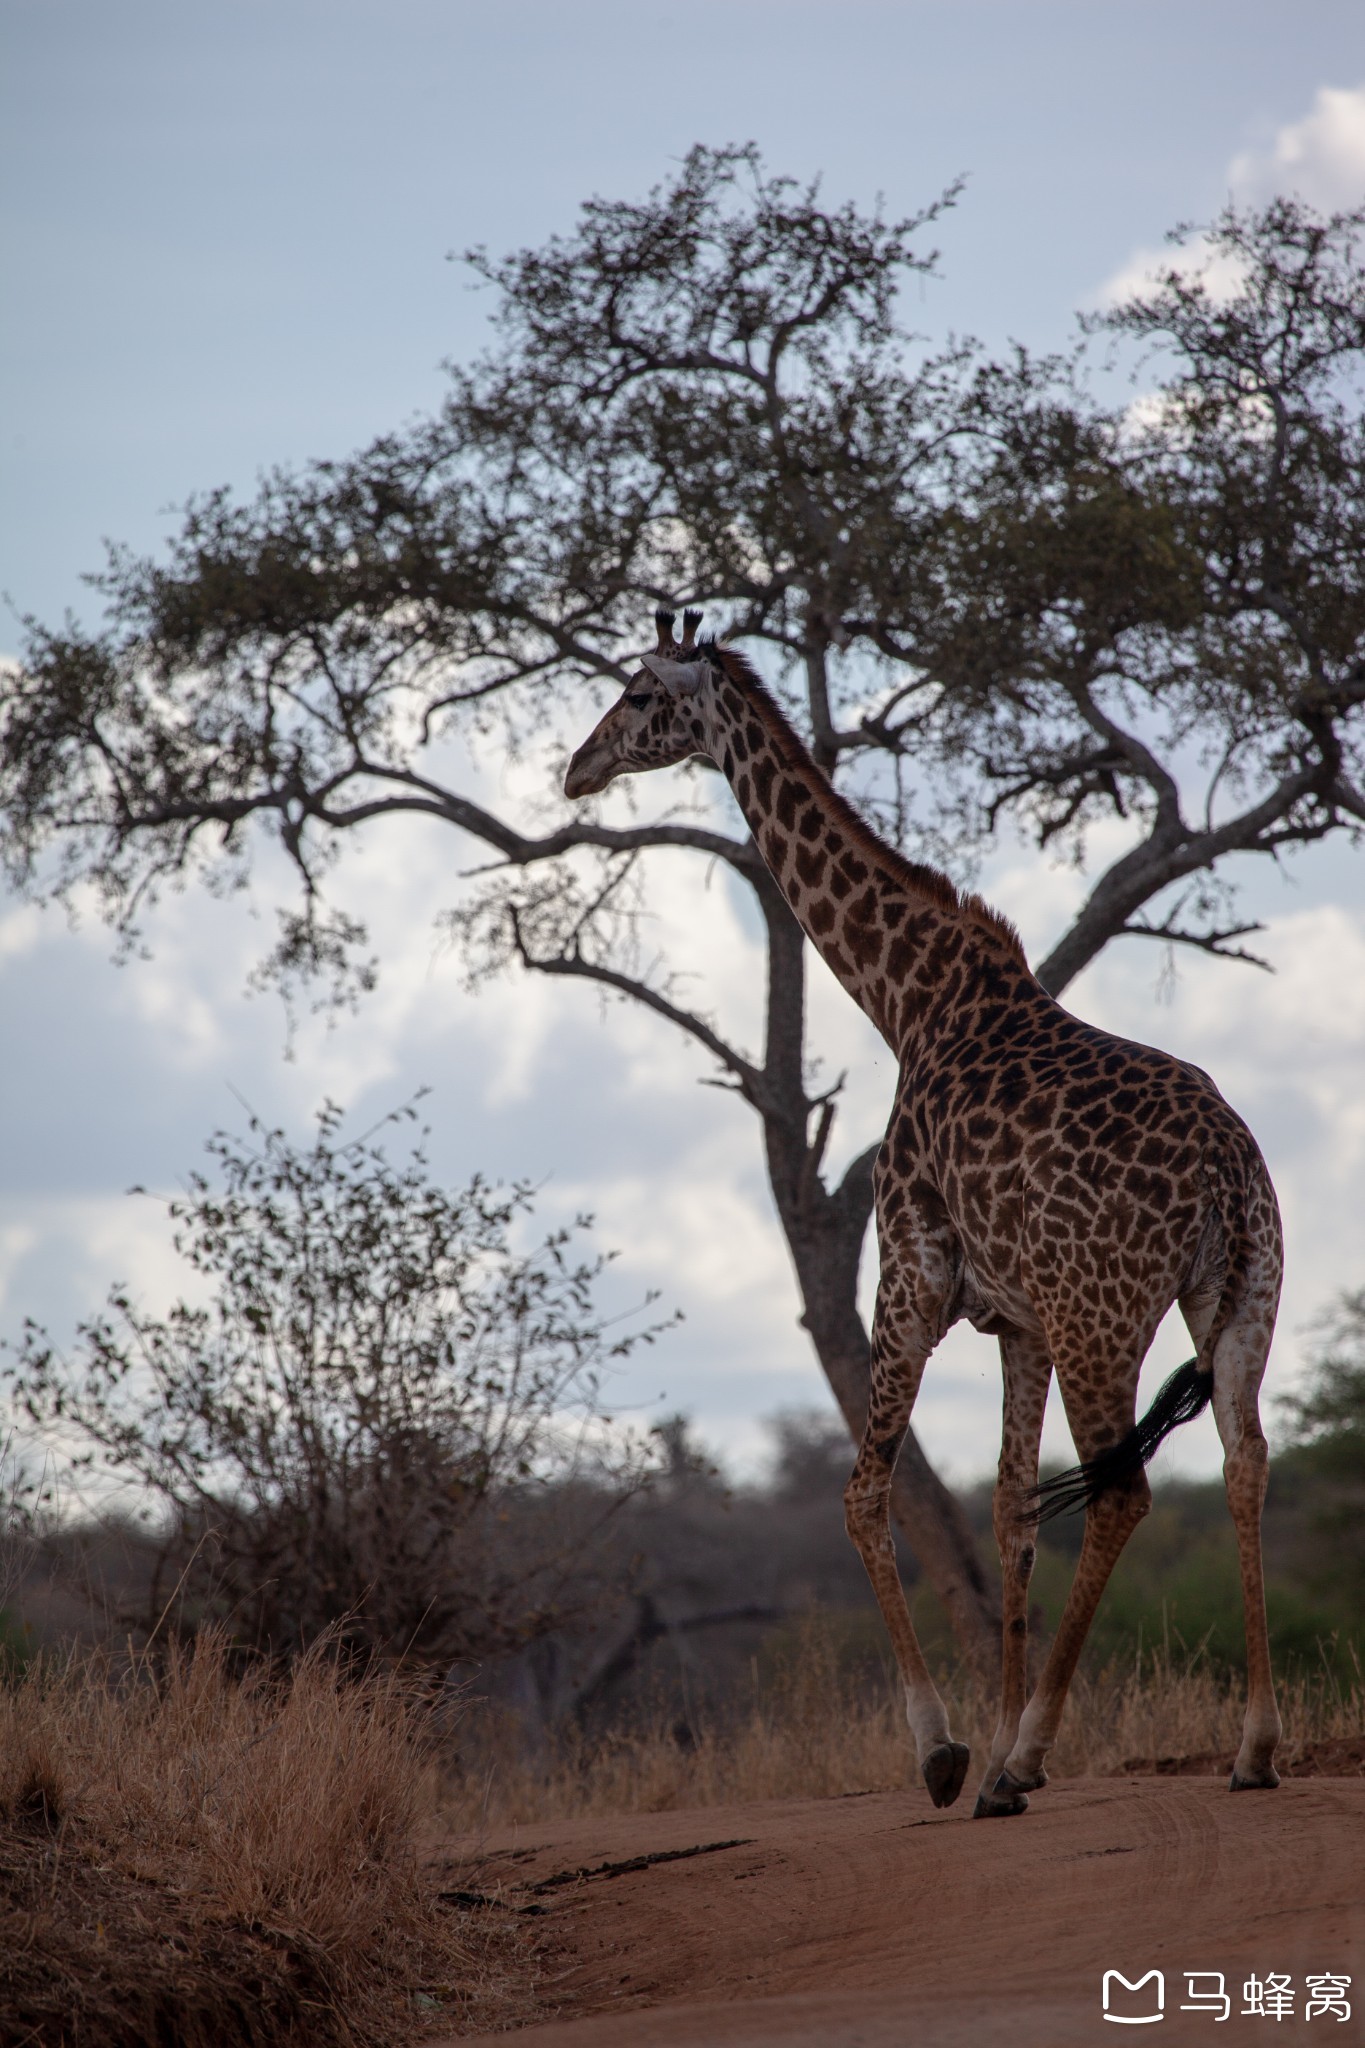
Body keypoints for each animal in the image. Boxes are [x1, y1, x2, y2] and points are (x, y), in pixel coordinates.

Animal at [560, 614, 1285, 1818]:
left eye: (635, 693)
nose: (576, 768)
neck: (906, 998)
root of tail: (1230, 1174)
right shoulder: (1018, 1319)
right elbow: (1005, 1511)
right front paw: (988, 1749)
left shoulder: (911, 1274)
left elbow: (863, 1494)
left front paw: (950, 1753)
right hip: (1238, 1300)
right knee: (1243, 1462)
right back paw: (1253, 1748)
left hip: (1103, 1318)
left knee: (1124, 1490)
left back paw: (1032, 1757)